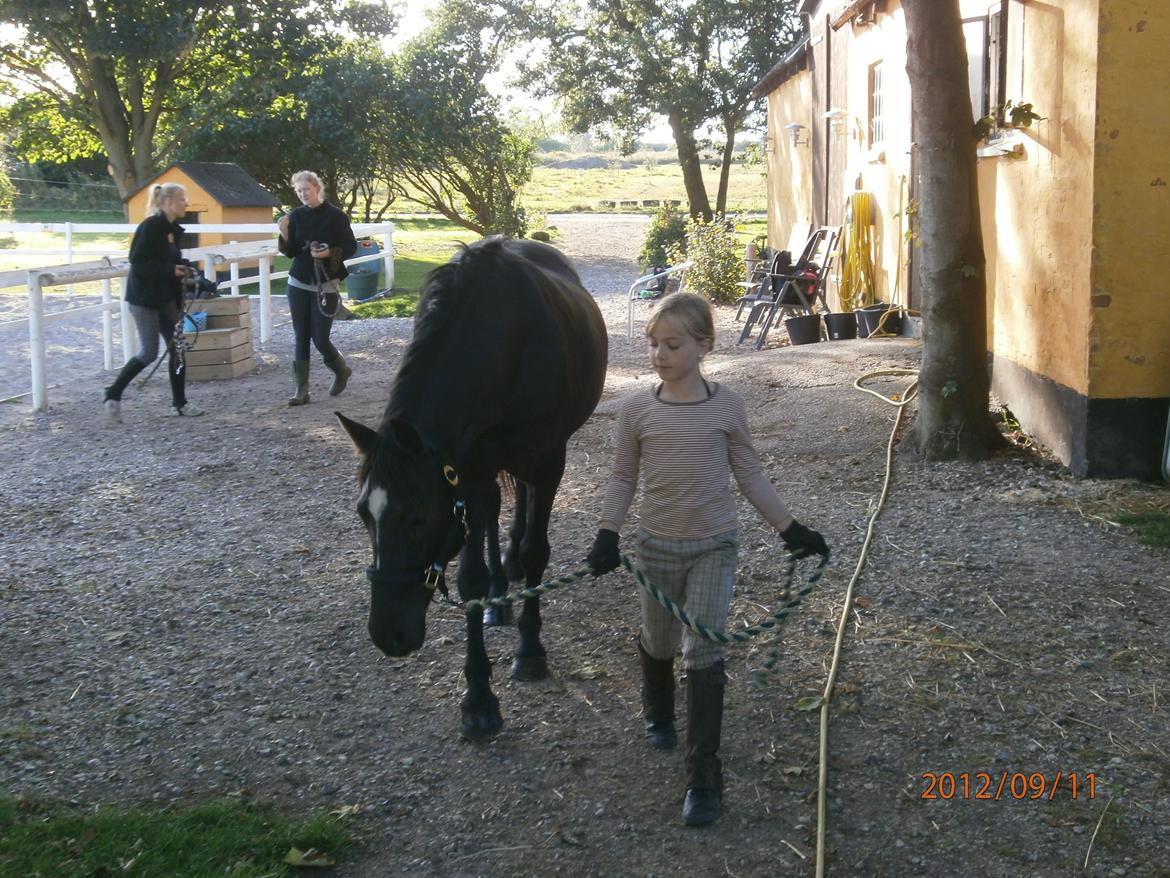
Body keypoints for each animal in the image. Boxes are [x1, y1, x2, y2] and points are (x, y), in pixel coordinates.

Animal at [336, 237, 608, 739]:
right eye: (364, 515)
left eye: (417, 518)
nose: (388, 635)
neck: (504, 344)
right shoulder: (466, 471)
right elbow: (470, 578)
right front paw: (479, 698)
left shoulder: (549, 461)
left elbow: (538, 551)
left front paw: (530, 650)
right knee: (497, 510)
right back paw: (501, 593)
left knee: (521, 507)